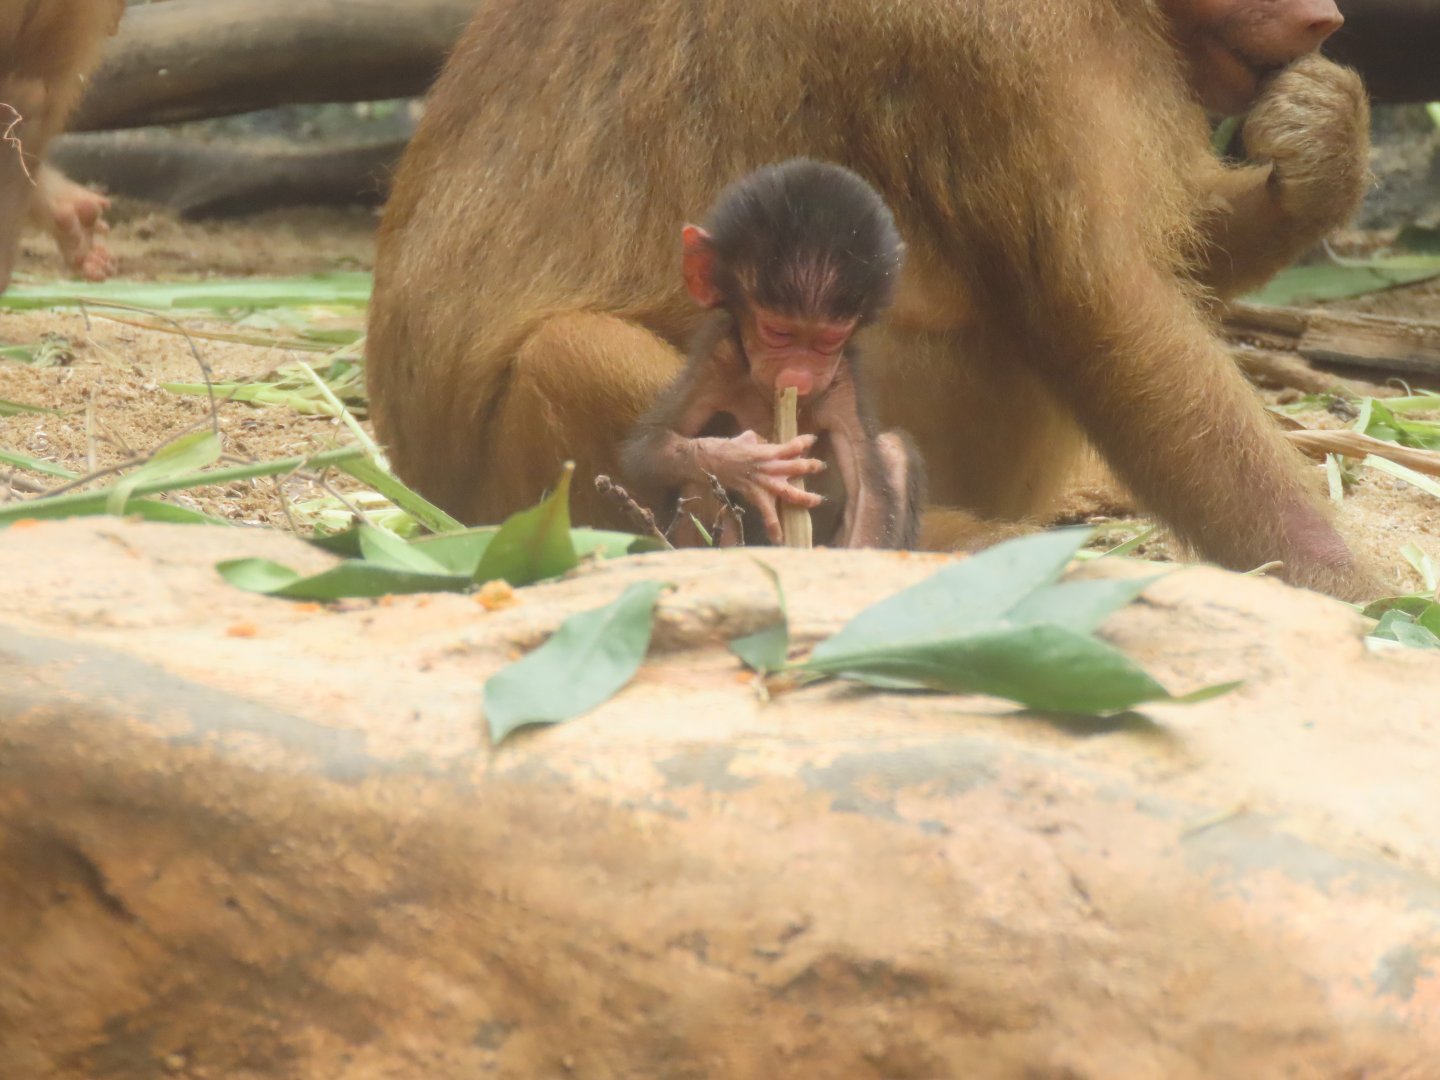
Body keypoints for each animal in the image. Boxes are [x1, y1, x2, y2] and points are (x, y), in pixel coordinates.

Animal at [620, 159, 925, 550]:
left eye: (829, 339)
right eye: (778, 332)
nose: (799, 378)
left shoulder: (841, 379)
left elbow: (871, 491)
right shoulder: (719, 357)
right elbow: (646, 448)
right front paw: (745, 464)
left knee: (893, 451)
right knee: (698, 479)